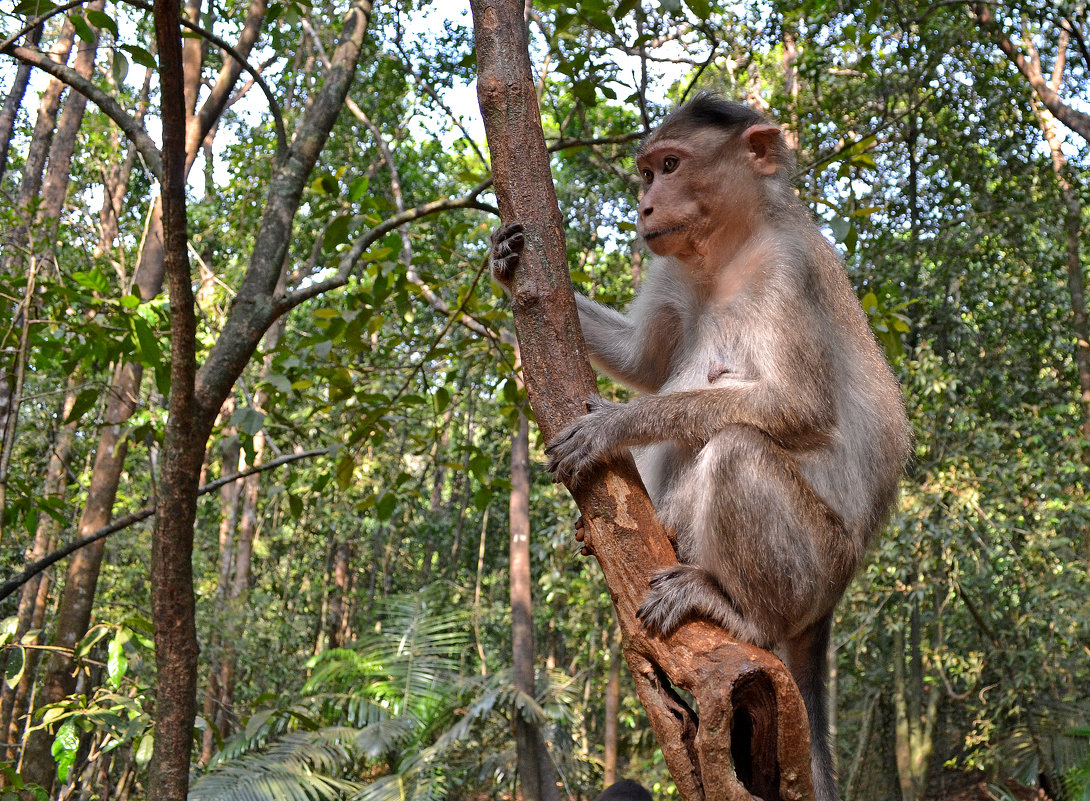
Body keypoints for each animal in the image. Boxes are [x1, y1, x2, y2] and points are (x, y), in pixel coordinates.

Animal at [490, 93, 906, 801]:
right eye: (646, 172)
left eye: (671, 166)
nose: (645, 207)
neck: (726, 252)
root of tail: (833, 599)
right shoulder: (673, 265)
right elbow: (642, 357)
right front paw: (502, 259)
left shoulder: (787, 270)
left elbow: (797, 407)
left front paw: (615, 423)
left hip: (814, 566)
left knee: (737, 442)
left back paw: (741, 613)